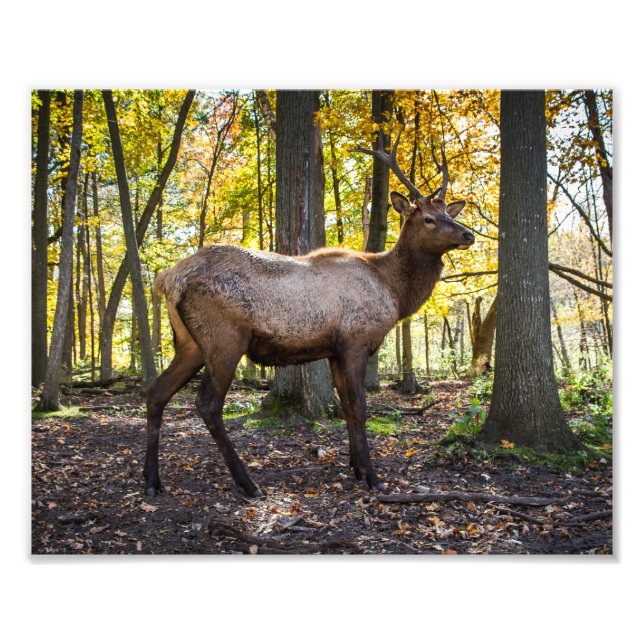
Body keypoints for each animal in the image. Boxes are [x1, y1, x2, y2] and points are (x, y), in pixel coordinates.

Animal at [143, 132, 475, 498]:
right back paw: (248, 483)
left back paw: (152, 481)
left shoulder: (334, 349)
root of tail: (168, 278)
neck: (394, 292)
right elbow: (359, 407)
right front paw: (373, 476)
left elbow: (346, 406)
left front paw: (356, 468)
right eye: (428, 218)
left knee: (156, 393)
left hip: (190, 342)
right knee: (208, 404)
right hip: (224, 337)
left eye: (448, 212)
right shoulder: (355, 341)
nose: (468, 234)